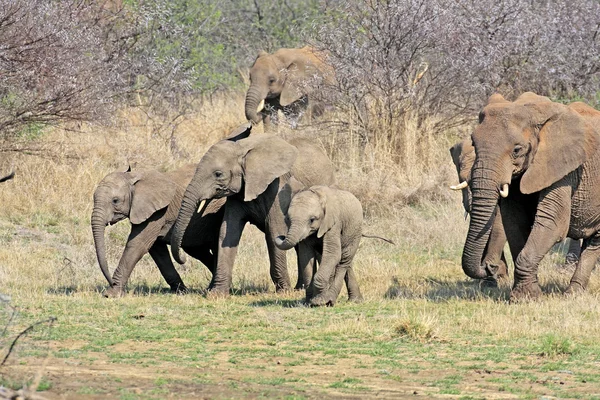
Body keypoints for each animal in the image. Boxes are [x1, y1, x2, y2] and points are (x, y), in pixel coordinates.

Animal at [91, 164, 225, 298]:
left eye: (115, 200)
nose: (111, 282)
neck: (133, 176)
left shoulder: (158, 212)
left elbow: (137, 244)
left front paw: (110, 295)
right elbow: (157, 251)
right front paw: (180, 291)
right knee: (198, 251)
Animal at [170, 122, 338, 294]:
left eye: (218, 174)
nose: (183, 258)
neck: (243, 150)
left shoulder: (277, 187)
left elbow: (274, 231)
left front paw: (284, 291)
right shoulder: (238, 191)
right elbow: (227, 232)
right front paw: (216, 294)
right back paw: (300, 288)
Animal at [462, 93, 600, 300]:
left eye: (517, 150)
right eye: (473, 144)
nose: (489, 267)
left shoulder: (564, 168)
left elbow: (552, 223)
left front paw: (525, 297)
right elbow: (514, 221)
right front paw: (526, 296)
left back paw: (571, 295)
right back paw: (573, 294)